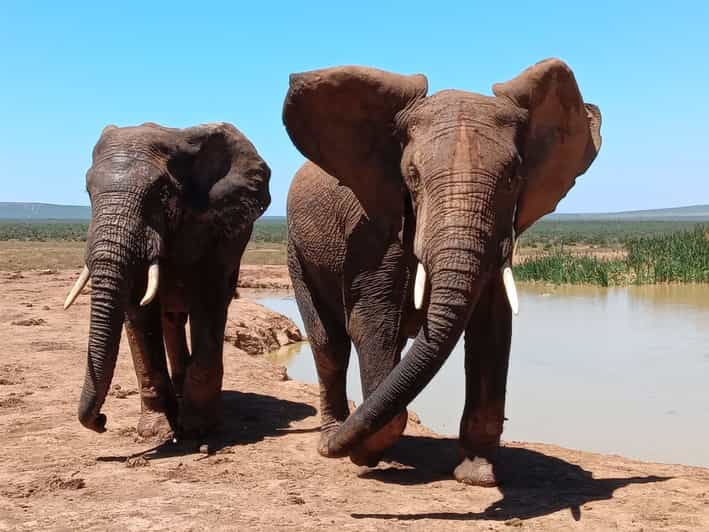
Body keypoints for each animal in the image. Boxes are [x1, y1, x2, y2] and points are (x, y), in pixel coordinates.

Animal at [63, 122, 270, 438]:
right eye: (88, 192)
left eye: (160, 195)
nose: (102, 421)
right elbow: (138, 313)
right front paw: (156, 431)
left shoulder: (217, 228)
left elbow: (208, 303)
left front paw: (199, 429)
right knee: (171, 319)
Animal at [284, 58, 604, 486]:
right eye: (413, 177)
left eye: (512, 178)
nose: (346, 451)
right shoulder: (372, 234)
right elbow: (372, 324)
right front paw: (364, 455)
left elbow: (492, 329)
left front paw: (477, 475)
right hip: (296, 251)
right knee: (328, 342)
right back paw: (331, 437)